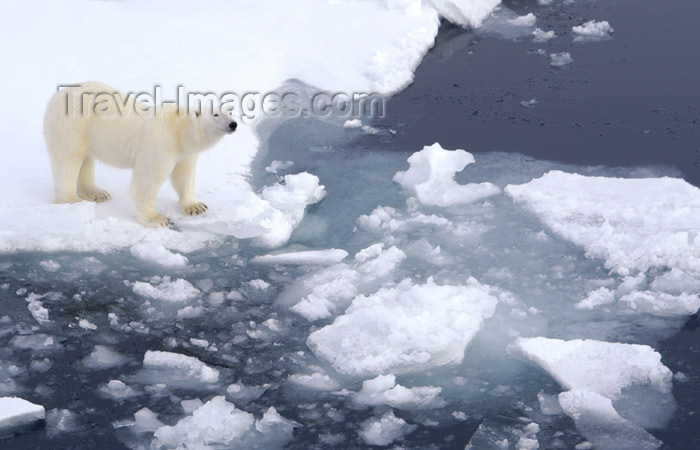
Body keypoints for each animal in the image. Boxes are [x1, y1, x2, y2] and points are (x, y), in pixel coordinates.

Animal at [43, 81, 237, 227]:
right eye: (215, 114)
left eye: (230, 111)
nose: (233, 124)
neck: (177, 130)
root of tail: (56, 96)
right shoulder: (159, 144)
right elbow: (148, 179)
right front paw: (157, 219)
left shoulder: (185, 153)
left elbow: (184, 175)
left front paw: (196, 207)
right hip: (72, 126)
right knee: (67, 160)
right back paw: (70, 199)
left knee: (86, 161)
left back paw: (97, 193)